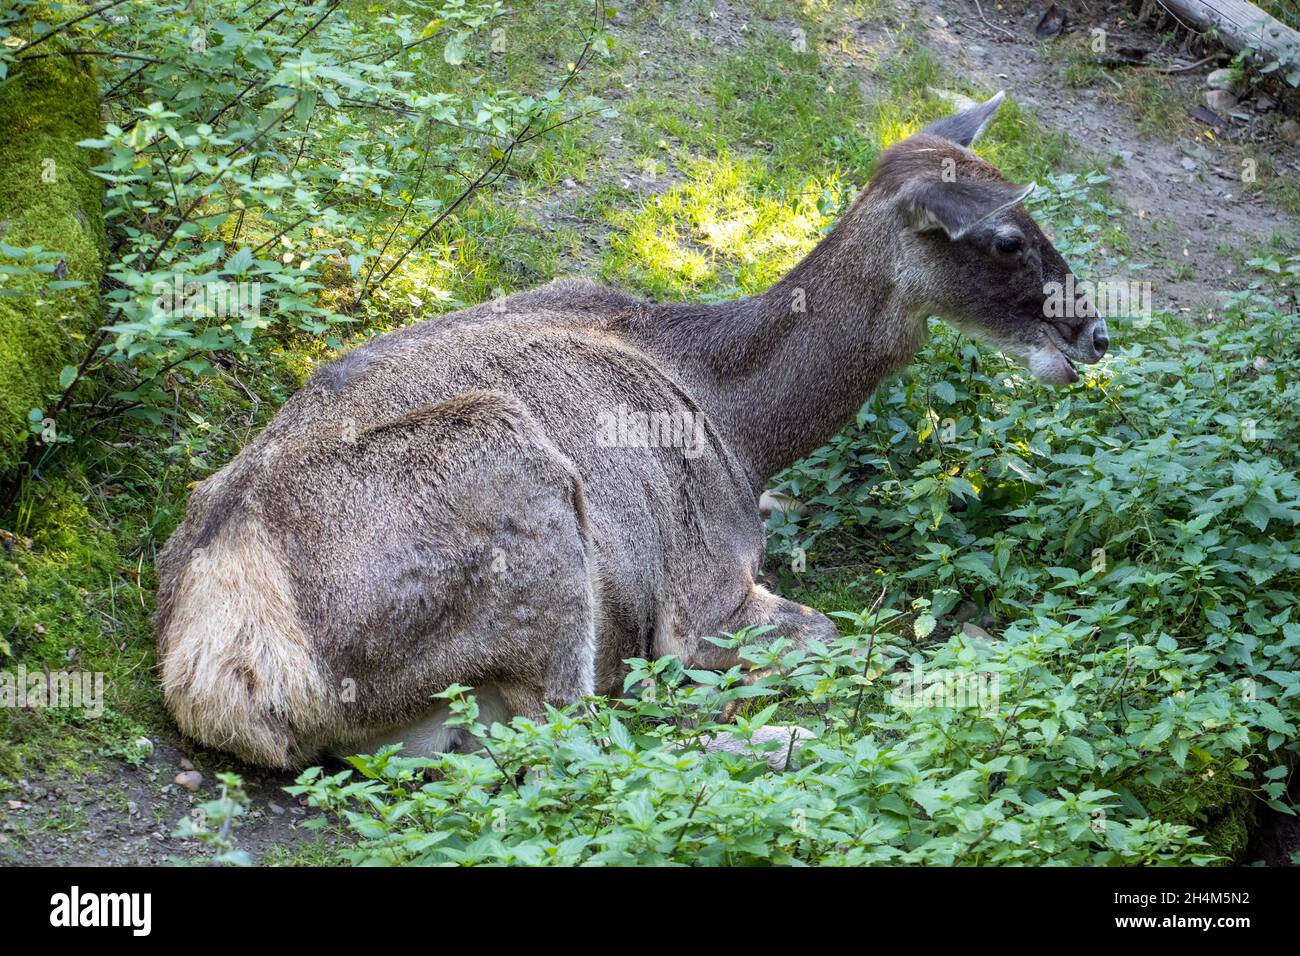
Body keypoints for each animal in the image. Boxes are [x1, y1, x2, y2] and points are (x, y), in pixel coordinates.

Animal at [154, 91, 1108, 769]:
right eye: (1004, 238)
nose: (1093, 334)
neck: (741, 429)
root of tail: (224, 671)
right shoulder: (703, 596)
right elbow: (830, 633)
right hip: (523, 492)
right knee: (576, 750)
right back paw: (780, 742)